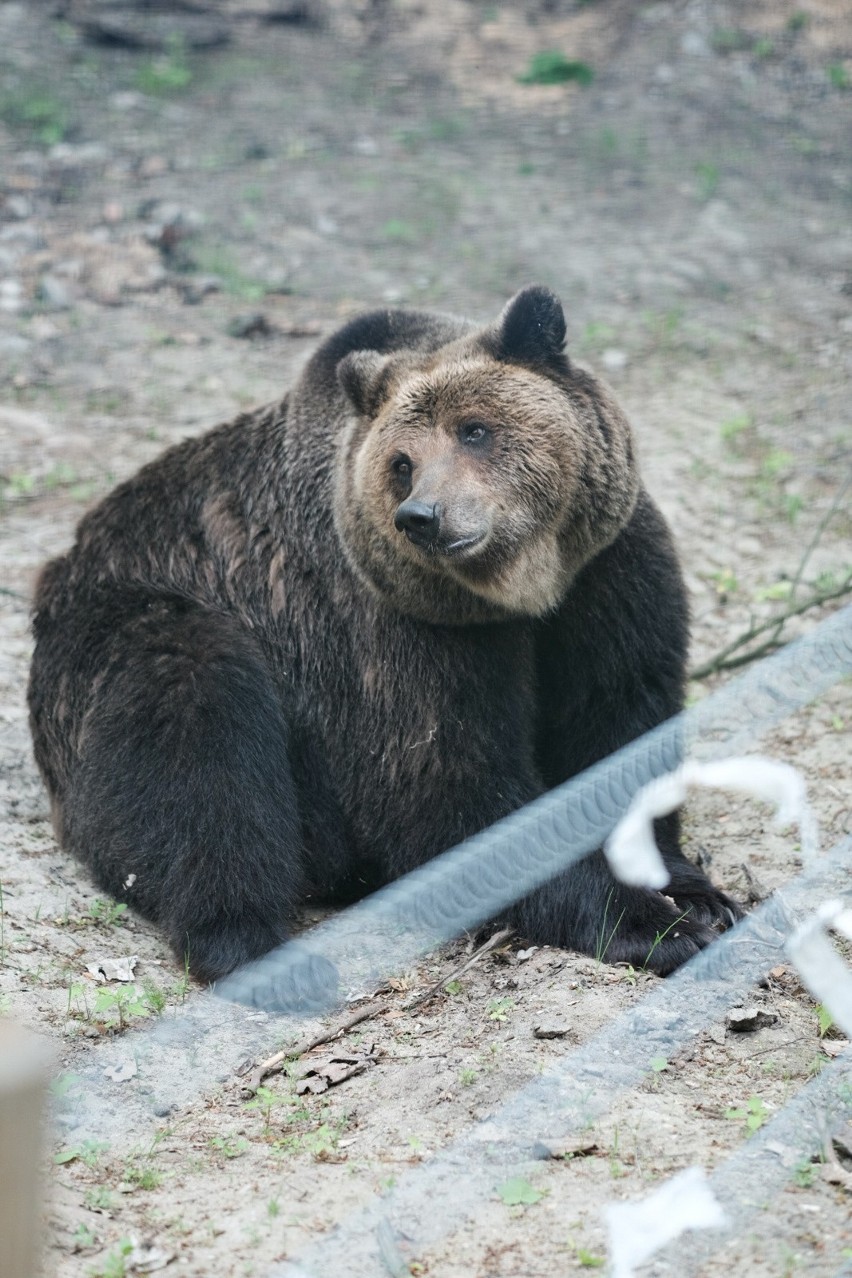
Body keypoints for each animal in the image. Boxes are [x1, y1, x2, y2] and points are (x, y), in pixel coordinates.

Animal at [26, 287, 735, 986]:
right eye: (402, 462)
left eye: (475, 429)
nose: (423, 516)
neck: (520, 590)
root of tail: (65, 562)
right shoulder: (395, 627)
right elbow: (442, 783)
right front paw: (654, 924)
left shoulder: (607, 573)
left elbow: (618, 719)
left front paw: (692, 890)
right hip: (135, 629)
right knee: (196, 732)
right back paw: (252, 945)